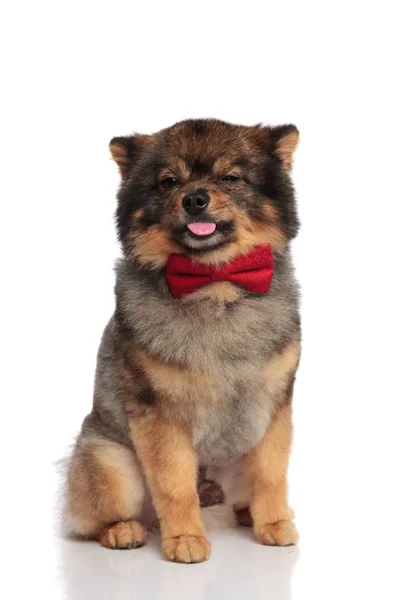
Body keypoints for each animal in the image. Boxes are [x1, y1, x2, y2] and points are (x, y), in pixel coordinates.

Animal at [65, 118, 302, 564]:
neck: (214, 285)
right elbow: (175, 485)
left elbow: (271, 474)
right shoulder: (161, 415)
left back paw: (248, 515)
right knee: (94, 520)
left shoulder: (273, 406)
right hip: (111, 462)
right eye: (168, 181)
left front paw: (275, 524)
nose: (195, 199)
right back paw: (124, 530)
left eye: (230, 178)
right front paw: (186, 540)